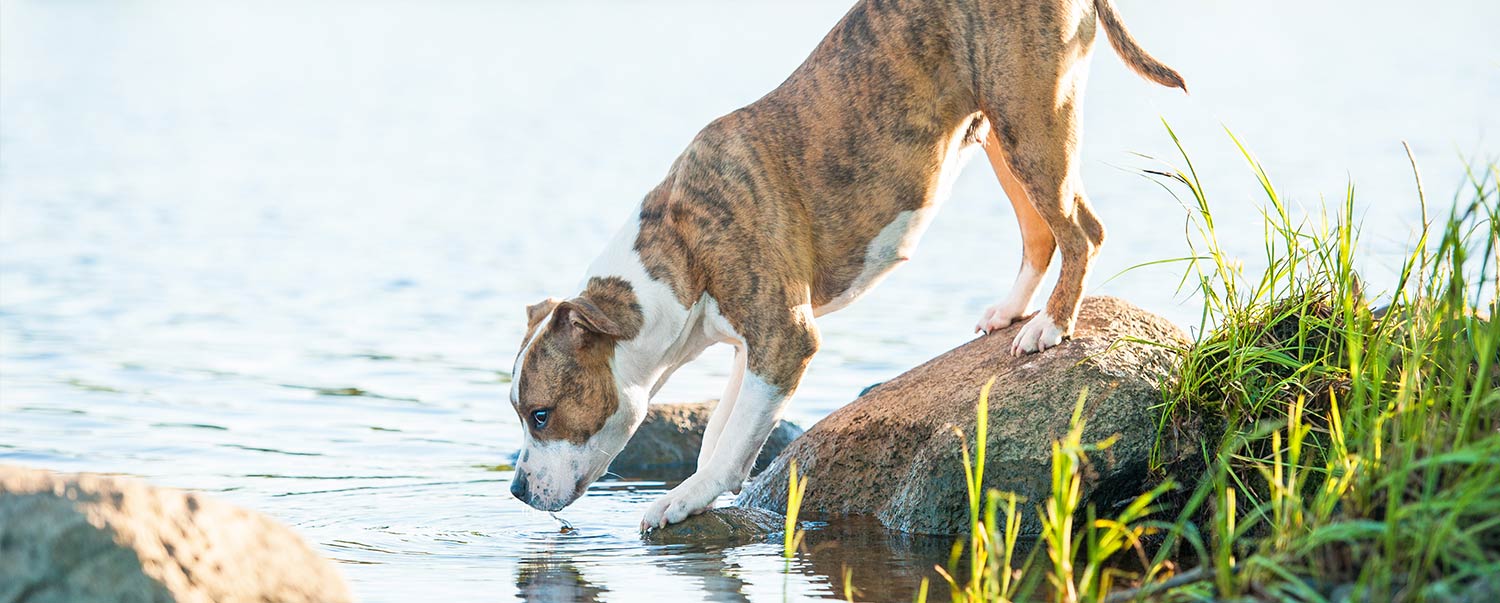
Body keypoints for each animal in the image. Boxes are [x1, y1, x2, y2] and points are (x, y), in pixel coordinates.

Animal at [513, 0, 1182, 528]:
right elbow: (721, 430)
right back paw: (1013, 312)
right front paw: (700, 485)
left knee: (1082, 230)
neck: (679, 245)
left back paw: (1051, 325)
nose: (516, 489)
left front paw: (682, 499)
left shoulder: (785, 338)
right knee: (1040, 232)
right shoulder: (753, 346)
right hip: (999, 132)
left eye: (541, 415)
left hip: (1032, 120)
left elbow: (726, 449)